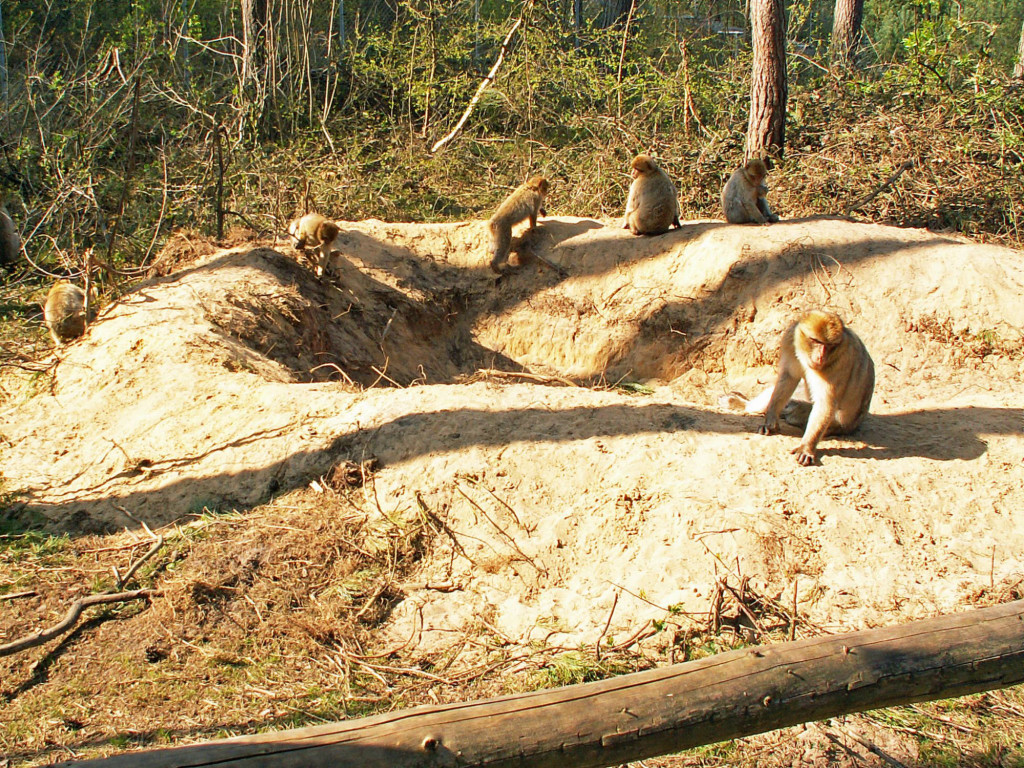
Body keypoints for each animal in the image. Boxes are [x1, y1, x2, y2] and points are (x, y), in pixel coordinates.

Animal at [724, 309, 876, 466]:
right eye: (816, 341)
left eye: (829, 346)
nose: (821, 356)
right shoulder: (791, 339)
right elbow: (788, 377)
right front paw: (770, 421)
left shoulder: (841, 360)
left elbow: (825, 403)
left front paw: (806, 447)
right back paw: (741, 403)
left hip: (831, 423)